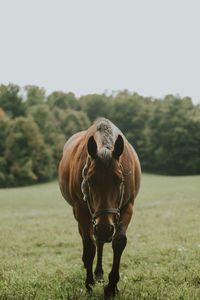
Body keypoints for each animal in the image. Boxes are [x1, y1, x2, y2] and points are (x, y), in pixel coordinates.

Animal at [58, 118, 141, 298]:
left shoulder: (127, 206)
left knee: (100, 240)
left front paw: (111, 286)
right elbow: (89, 246)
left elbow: (119, 241)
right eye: (89, 180)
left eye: (120, 180)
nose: (104, 228)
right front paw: (89, 284)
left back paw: (99, 272)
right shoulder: (82, 210)